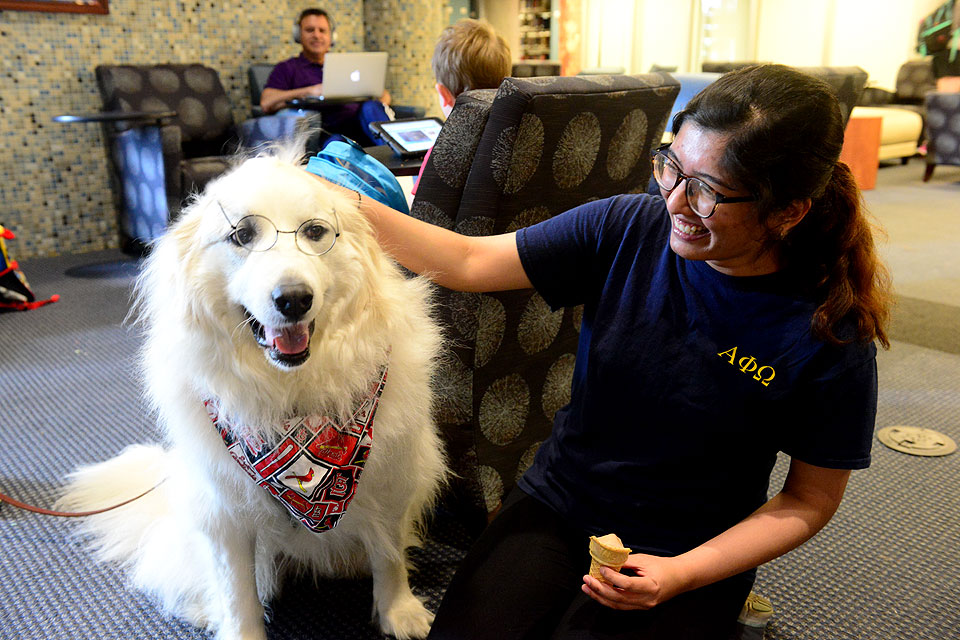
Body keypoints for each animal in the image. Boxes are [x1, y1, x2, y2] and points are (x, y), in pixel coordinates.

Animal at [58, 145, 448, 640]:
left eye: (315, 232)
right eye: (242, 234)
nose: (294, 299)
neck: (292, 397)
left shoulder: (393, 480)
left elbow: (389, 553)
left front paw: (400, 612)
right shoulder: (225, 510)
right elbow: (236, 589)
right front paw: (239, 628)